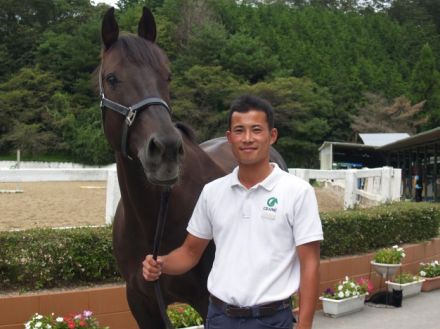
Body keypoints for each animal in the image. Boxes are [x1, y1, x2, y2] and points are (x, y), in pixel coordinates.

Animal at [98, 5, 288, 328]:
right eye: (112, 78)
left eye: (167, 76)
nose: (166, 150)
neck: (154, 221)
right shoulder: (141, 301)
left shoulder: (207, 299)